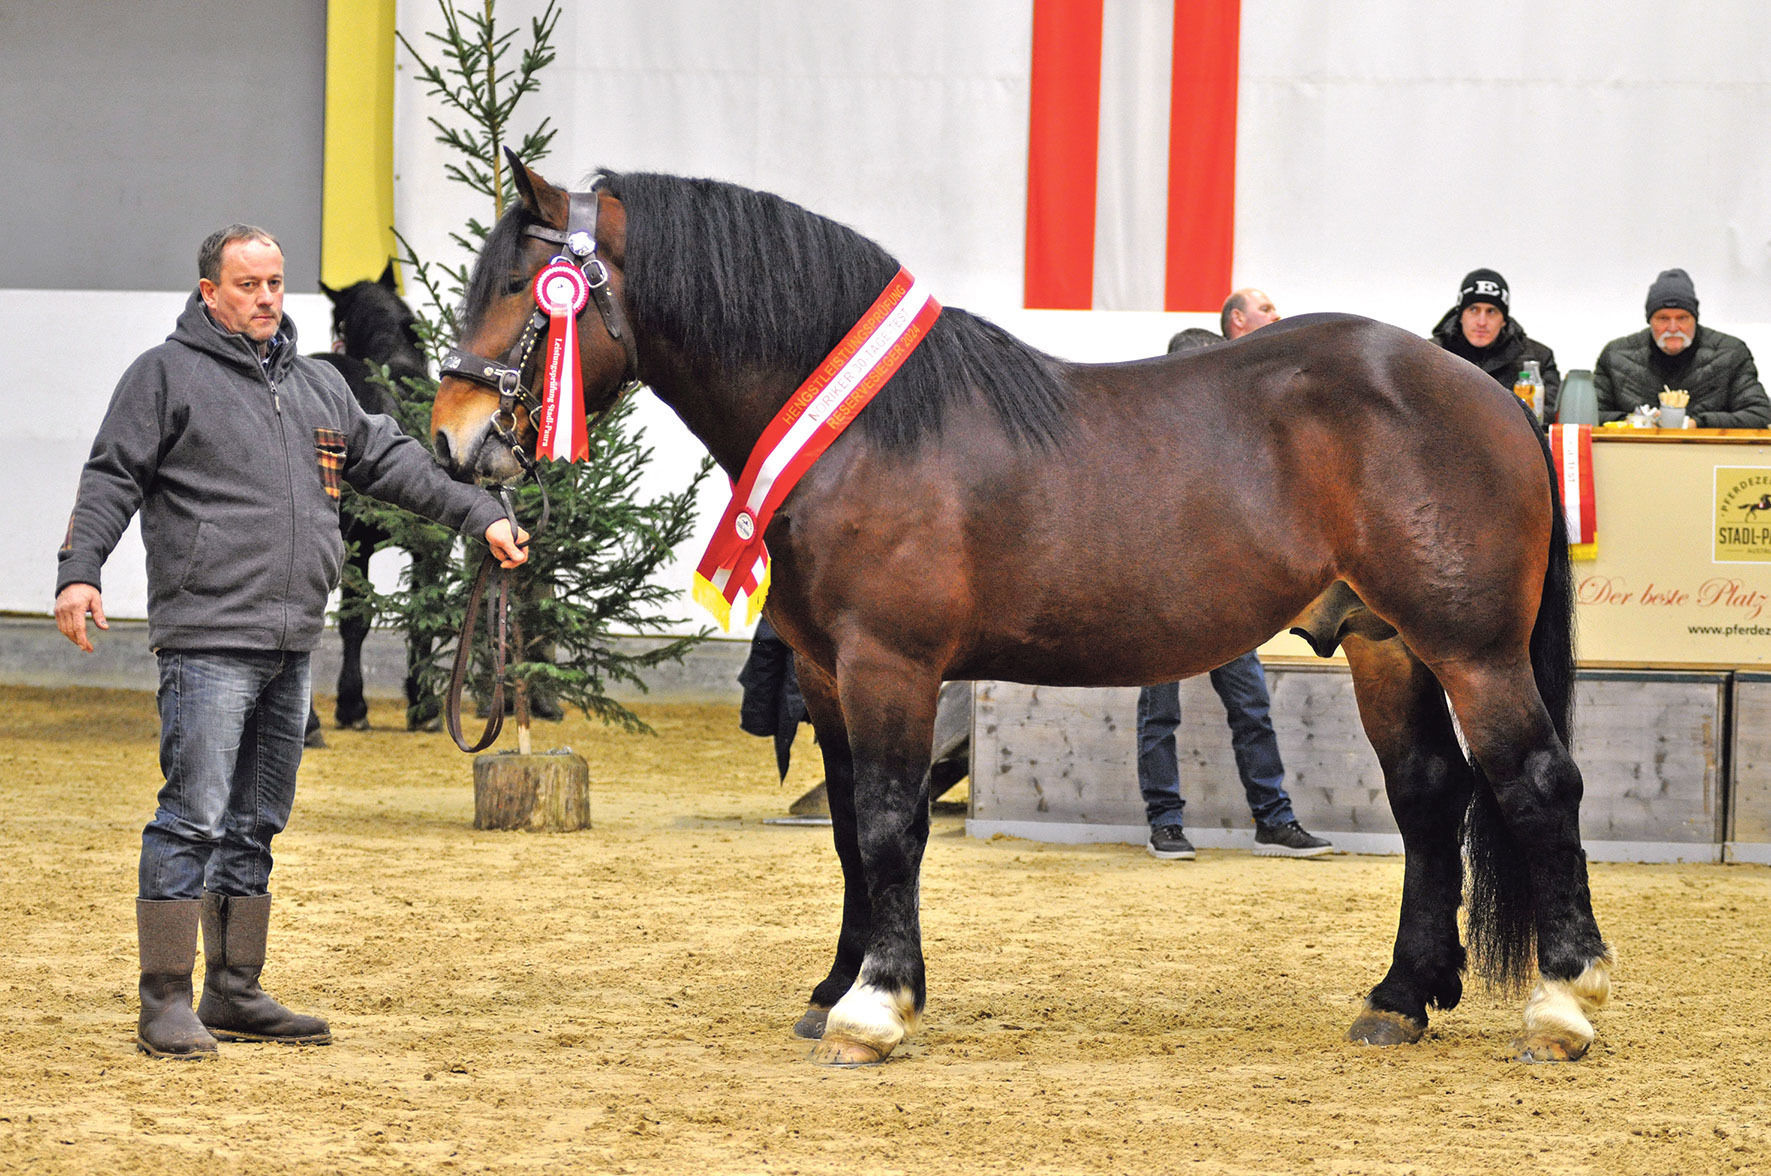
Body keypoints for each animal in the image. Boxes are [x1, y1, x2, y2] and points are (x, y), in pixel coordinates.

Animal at [432, 161, 1622, 1069]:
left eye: (524, 286)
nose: (451, 437)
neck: (871, 429)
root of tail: (1490, 393)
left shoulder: (891, 665)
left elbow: (888, 823)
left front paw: (877, 1008)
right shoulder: (823, 672)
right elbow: (849, 834)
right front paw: (834, 986)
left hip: (1473, 651)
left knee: (1537, 784)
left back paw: (1563, 1005)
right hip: (1387, 646)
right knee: (1427, 797)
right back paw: (1399, 998)